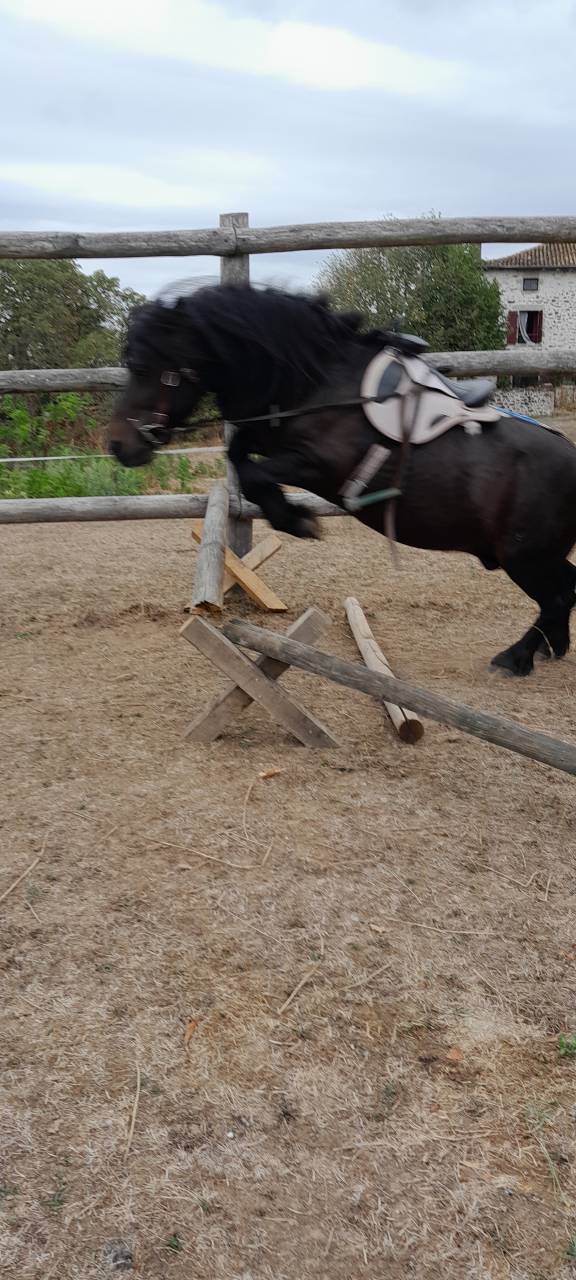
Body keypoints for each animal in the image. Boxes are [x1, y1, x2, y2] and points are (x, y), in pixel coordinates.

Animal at [107, 283, 576, 677]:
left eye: (147, 367)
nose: (118, 445)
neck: (319, 384)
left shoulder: (321, 467)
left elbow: (254, 471)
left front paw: (299, 521)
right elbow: (239, 455)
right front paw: (291, 516)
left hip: (523, 556)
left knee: (556, 597)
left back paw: (515, 657)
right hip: (537, 555)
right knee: (565, 591)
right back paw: (550, 647)